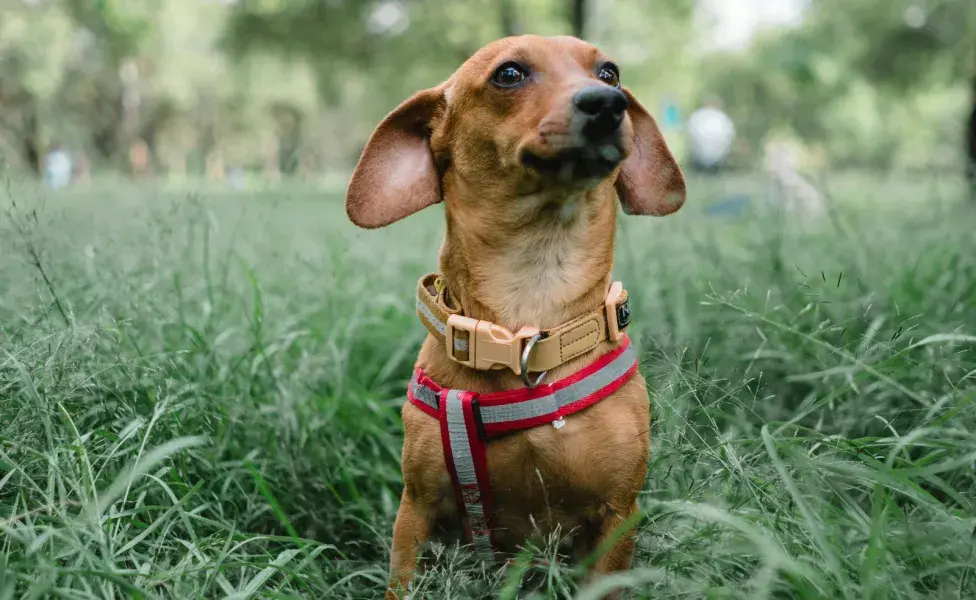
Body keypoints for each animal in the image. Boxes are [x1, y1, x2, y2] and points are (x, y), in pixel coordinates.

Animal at [346, 35, 688, 596]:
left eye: (610, 73)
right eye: (509, 74)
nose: (607, 103)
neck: (529, 315)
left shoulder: (617, 516)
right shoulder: (415, 512)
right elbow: (403, 581)